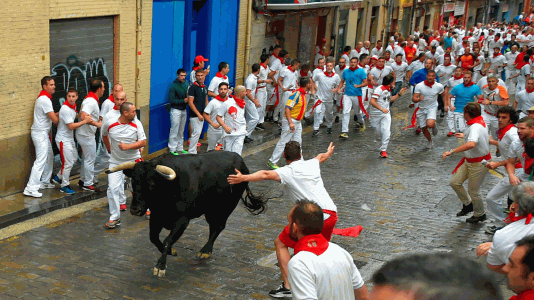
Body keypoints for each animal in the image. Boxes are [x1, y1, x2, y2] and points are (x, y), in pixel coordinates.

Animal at [107, 151, 270, 278]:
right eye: (133, 182)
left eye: (151, 184)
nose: (135, 210)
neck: (169, 188)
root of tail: (241, 162)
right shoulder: (156, 217)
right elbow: (154, 238)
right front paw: (171, 252)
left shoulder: (182, 220)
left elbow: (167, 240)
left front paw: (160, 266)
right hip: (211, 210)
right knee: (214, 227)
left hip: (225, 207)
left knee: (219, 226)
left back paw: (205, 250)